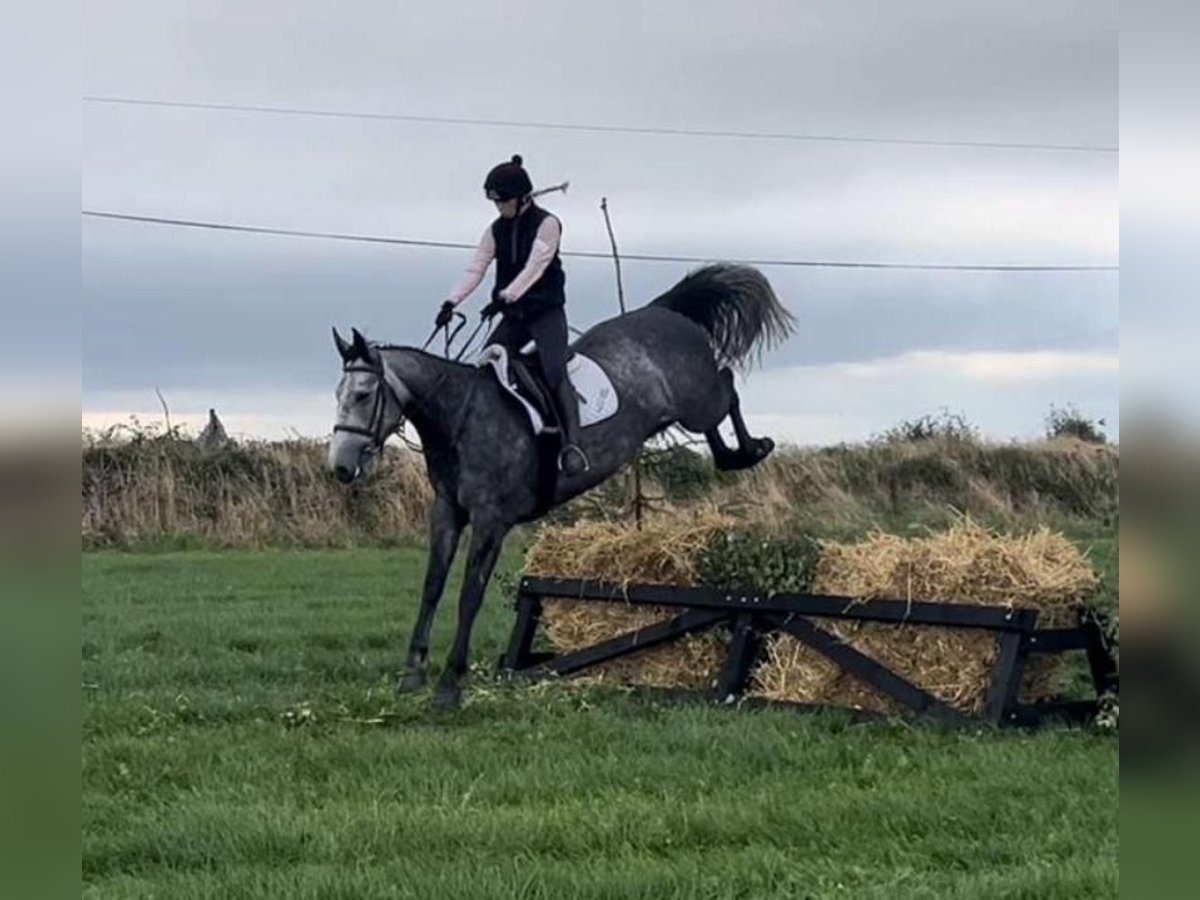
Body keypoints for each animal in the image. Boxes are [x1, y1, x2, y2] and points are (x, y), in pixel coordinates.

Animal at [331, 262, 796, 710]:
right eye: (337, 393)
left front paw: (450, 685)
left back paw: (751, 450)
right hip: (686, 408)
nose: (340, 467)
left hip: (697, 399)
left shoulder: (490, 520)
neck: (461, 417)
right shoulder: (447, 511)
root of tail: (663, 311)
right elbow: (432, 588)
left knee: (728, 385)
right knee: (721, 407)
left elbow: (469, 595)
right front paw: (413, 675)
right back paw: (734, 456)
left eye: (363, 394)